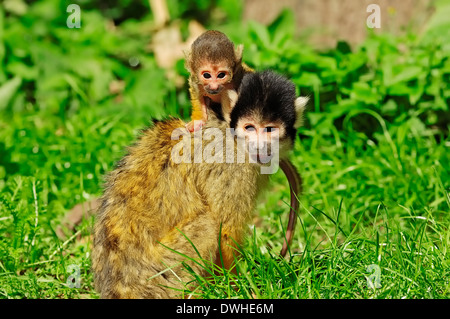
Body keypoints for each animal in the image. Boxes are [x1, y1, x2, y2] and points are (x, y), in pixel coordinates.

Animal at [91, 71, 310, 298]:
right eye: (249, 128)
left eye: (269, 129)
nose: (259, 146)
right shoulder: (231, 166)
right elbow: (226, 230)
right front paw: (235, 286)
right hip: (164, 274)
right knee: (207, 224)